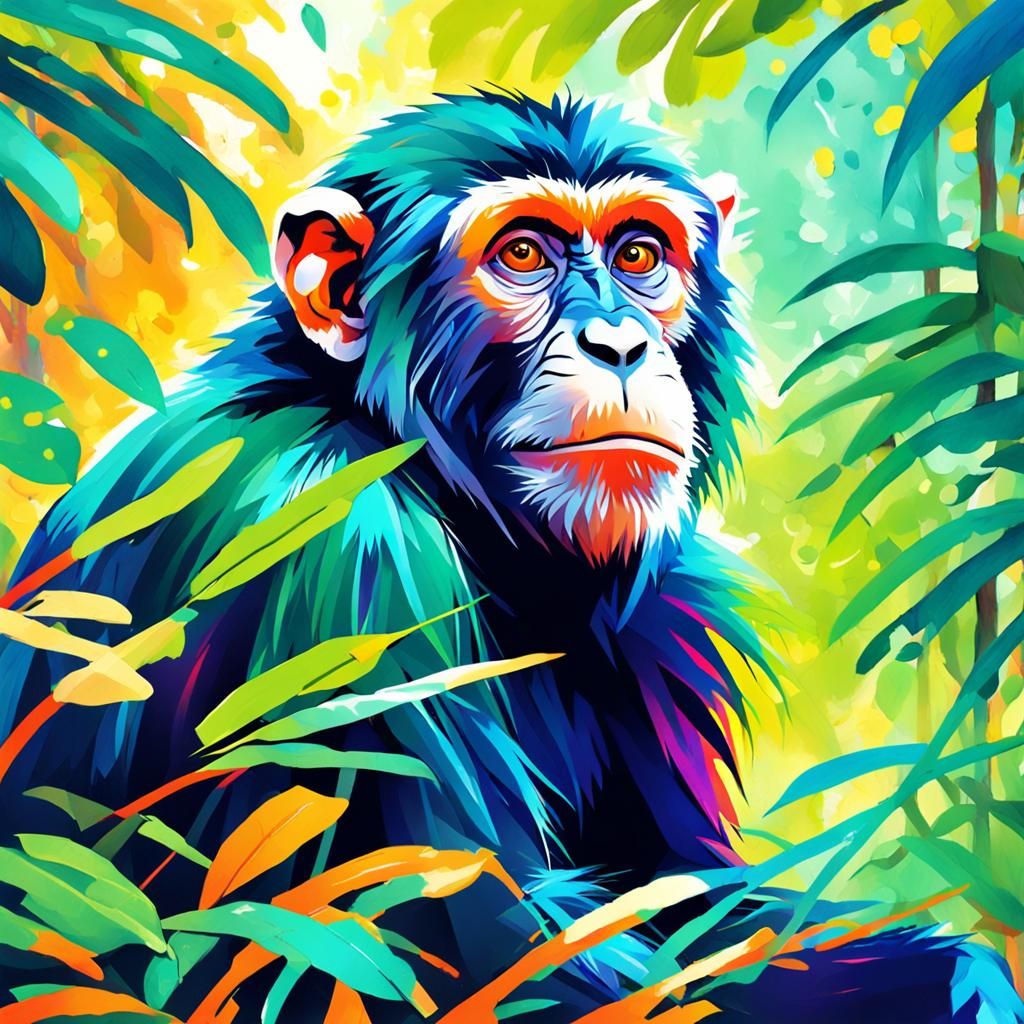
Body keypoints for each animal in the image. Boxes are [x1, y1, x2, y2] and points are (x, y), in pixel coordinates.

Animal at [0, 93, 1020, 1022]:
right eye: (522, 254)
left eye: (638, 256)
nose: (619, 341)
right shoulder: (344, 559)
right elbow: (471, 954)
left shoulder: (662, 619)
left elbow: (695, 906)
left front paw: (964, 977)